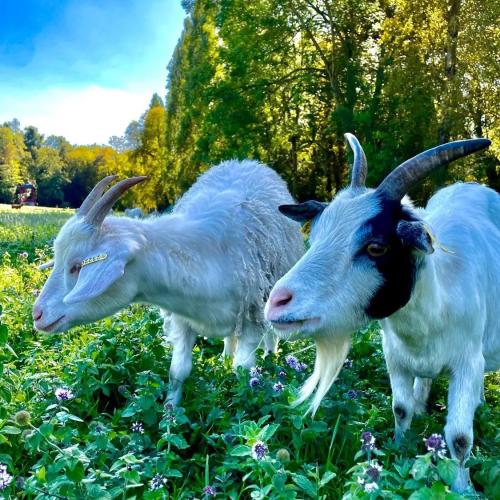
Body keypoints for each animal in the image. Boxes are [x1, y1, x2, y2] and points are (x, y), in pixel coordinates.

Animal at [35, 160, 304, 406]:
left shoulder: (252, 317)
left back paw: (270, 357)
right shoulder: (184, 319)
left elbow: (243, 372)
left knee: (269, 336)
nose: (37, 314)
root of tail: (246, 162)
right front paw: (170, 416)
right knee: (230, 339)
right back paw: (225, 359)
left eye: (77, 266)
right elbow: (178, 372)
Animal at [266, 136, 496, 492]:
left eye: (376, 247)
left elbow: (458, 438)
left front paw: (463, 489)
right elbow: (400, 409)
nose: (277, 302)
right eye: (314, 238)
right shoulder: (395, 357)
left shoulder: (467, 364)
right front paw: (399, 453)